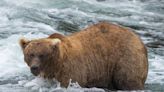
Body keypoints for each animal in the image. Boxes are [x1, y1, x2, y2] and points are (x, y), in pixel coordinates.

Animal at [19, 21, 148, 90]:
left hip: (126, 58)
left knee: (129, 80)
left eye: (42, 55)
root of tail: (139, 40)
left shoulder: (71, 70)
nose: (34, 67)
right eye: (30, 54)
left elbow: (70, 82)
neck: (55, 65)